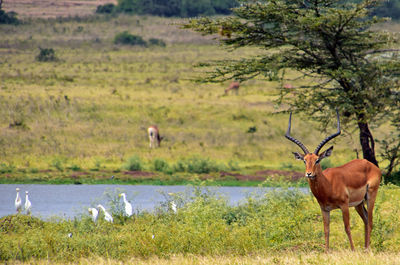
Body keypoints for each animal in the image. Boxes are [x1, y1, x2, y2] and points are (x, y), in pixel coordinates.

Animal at [284, 109, 382, 250]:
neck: (328, 185)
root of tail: (371, 165)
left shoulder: (344, 205)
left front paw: (352, 250)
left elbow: (347, 228)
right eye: (304, 160)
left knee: (370, 220)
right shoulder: (324, 209)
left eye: (317, 160)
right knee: (365, 220)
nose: (308, 174)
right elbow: (326, 230)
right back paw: (365, 248)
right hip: (358, 203)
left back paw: (367, 249)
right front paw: (326, 251)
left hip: (370, 195)